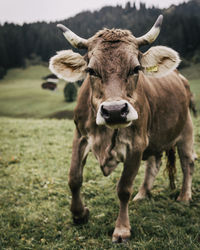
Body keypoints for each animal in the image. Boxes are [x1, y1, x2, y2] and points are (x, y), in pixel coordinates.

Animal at [49, 15, 196, 242]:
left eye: (136, 68)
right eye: (91, 70)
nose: (115, 110)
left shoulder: (136, 143)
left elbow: (124, 188)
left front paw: (122, 229)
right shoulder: (80, 136)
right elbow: (74, 178)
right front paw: (79, 215)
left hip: (186, 127)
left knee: (188, 162)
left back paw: (184, 196)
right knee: (154, 163)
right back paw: (143, 194)